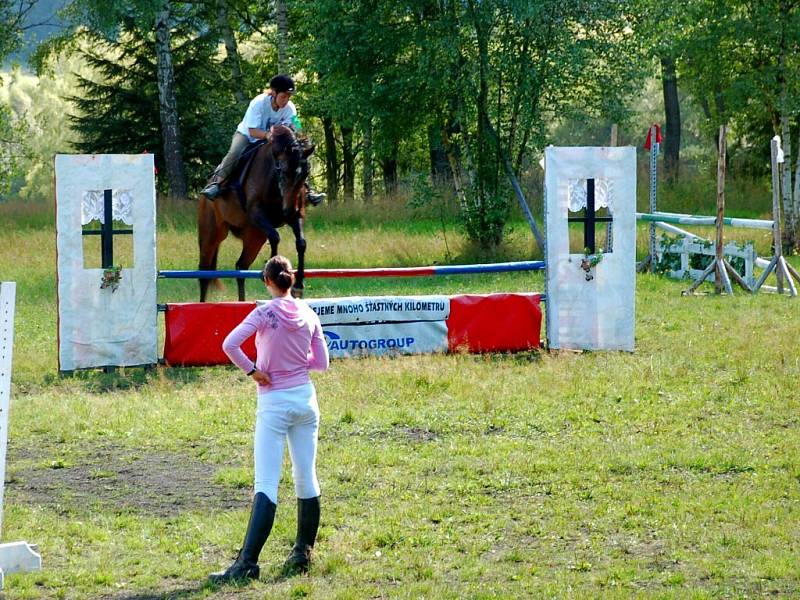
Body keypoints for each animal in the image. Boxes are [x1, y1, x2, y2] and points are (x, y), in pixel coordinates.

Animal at [197, 125, 316, 302]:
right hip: (211, 233)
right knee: (204, 272)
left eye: (305, 174)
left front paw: (298, 286)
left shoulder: (296, 215)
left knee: (241, 266)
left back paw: (242, 302)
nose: (288, 210)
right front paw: (275, 268)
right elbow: (275, 237)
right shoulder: (256, 213)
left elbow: (301, 243)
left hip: (254, 236)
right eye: (283, 170)